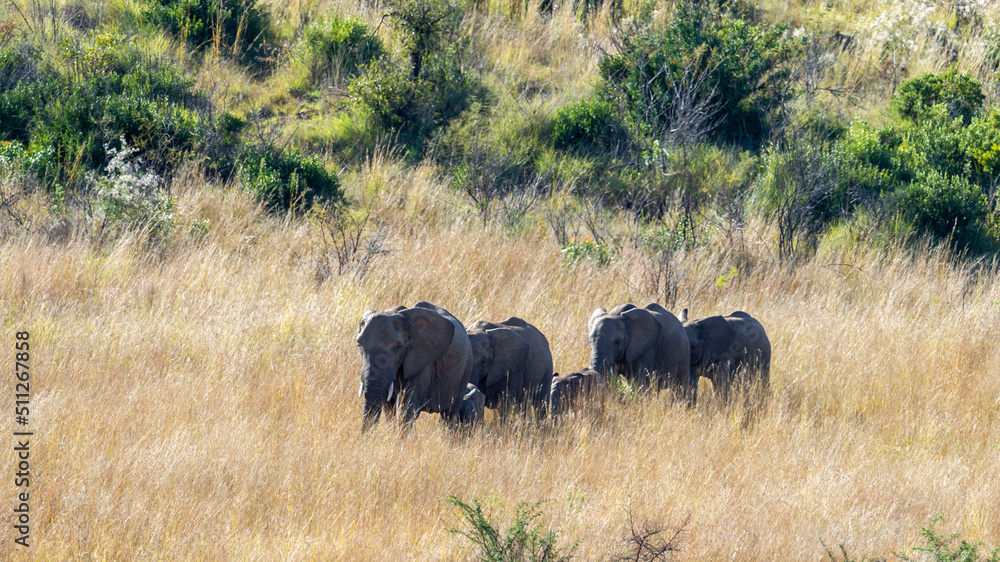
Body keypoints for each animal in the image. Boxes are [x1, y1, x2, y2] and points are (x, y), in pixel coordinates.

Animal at [355, 301, 472, 431]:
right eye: (359, 345)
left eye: (398, 347)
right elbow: (388, 404)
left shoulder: (423, 361)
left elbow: (408, 404)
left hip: (465, 369)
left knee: (450, 414)